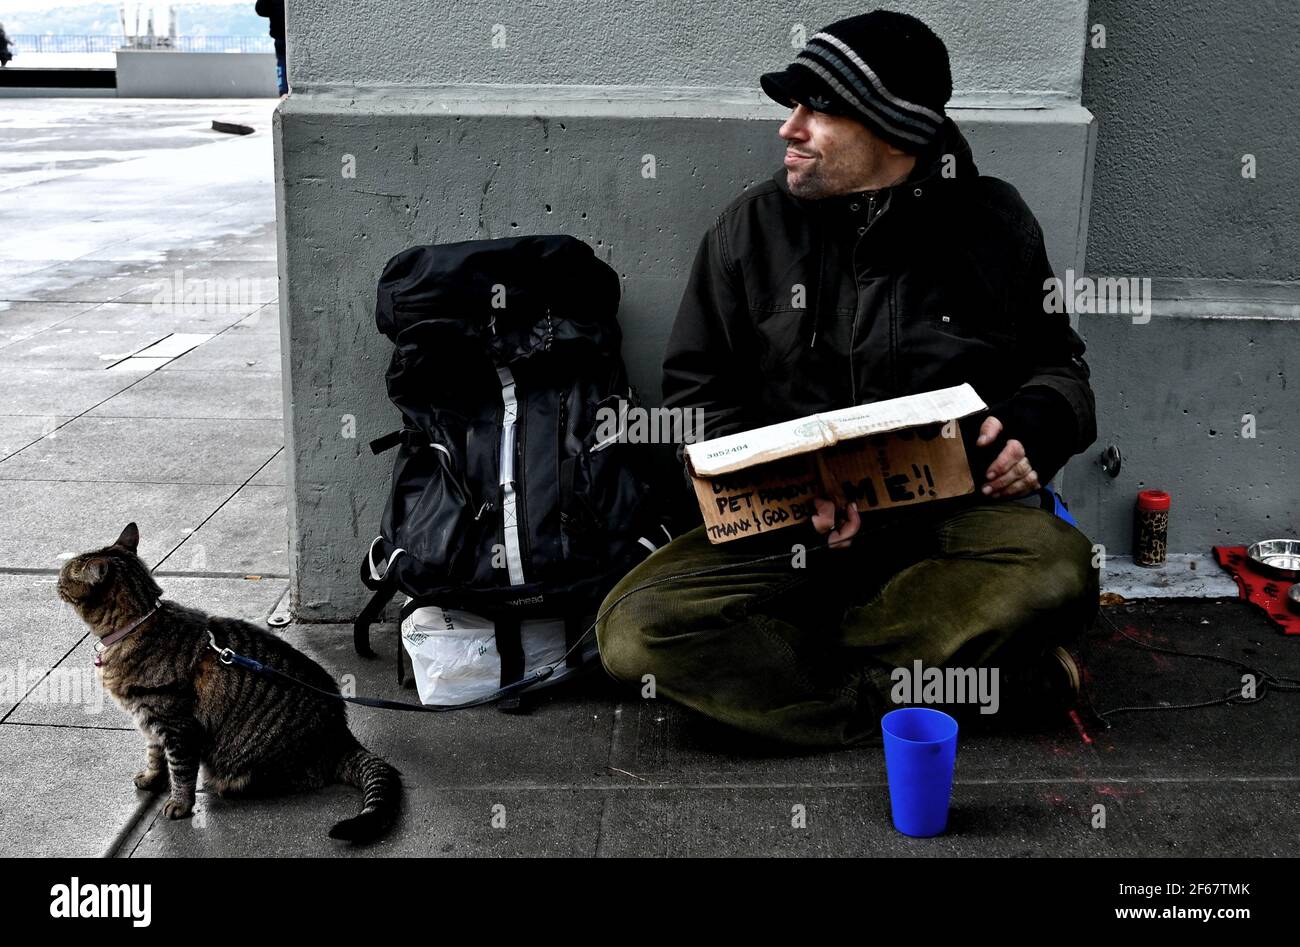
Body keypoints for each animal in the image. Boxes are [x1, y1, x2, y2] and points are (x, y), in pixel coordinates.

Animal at [57, 525, 400, 842]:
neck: (135, 624)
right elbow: (155, 755)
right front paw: (152, 778)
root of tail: (343, 736)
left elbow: (180, 770)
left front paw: (179, 803)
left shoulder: (177, 727)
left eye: (64, 576)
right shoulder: (150, 720)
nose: (56, 582)